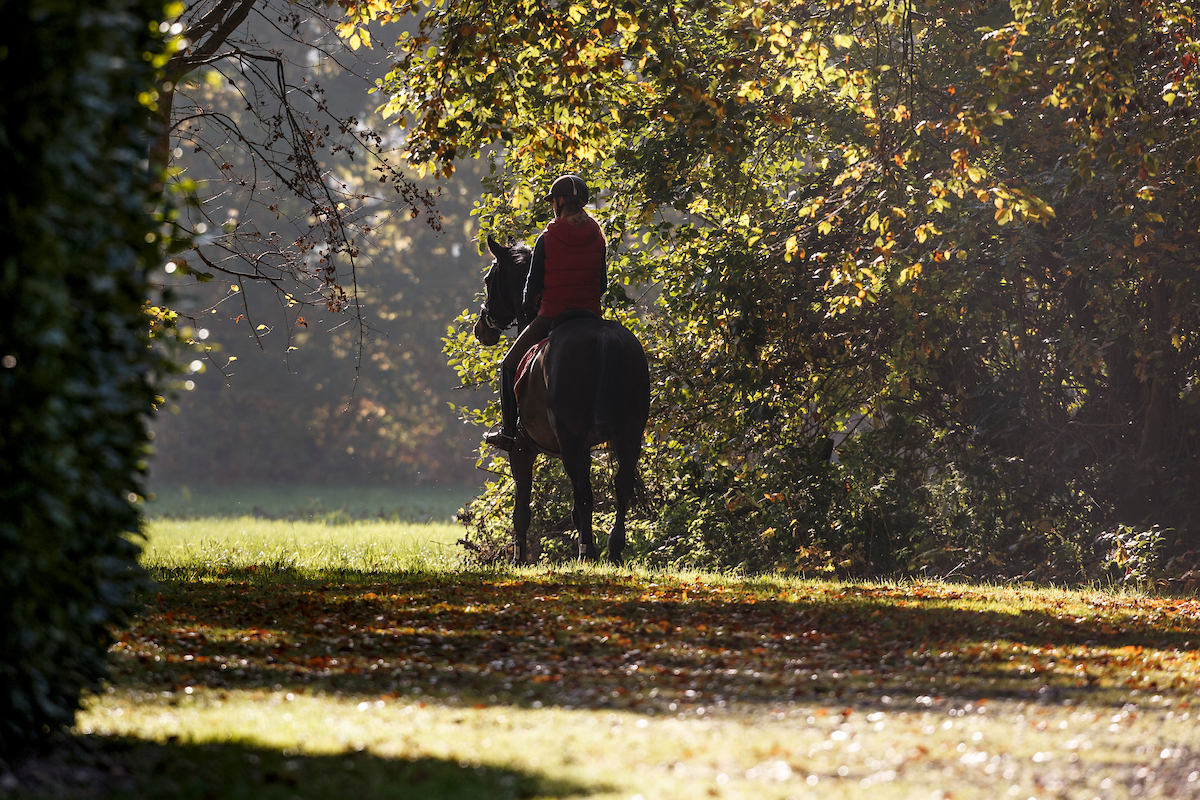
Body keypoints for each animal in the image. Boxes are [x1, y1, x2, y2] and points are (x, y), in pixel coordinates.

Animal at [473, 235, 651, 565]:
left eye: (489, 280)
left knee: (585, 493)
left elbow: (522, 509)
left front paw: (518, 559)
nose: (482, 329)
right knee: (621, 485)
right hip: (630, 434)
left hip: (569, 441)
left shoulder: (522, 450)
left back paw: (588, 553)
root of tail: (605, 337)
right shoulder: (586, 448)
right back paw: (613, 550)